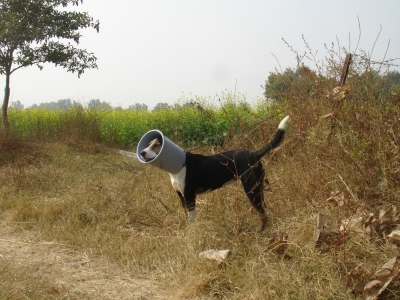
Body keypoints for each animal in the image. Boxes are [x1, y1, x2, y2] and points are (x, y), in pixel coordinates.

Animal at [139, 116, 290, 231]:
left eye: (157, 145)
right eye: (148, 144)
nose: (142, 152)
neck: (179, 165)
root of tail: (255, 153)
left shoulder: (189, 197)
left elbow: (191, 218)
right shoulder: (181, 197)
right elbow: (186, 217)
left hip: (250, 189)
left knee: (262, 213)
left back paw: (260, 231)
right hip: (258, 188)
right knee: (266, 210)